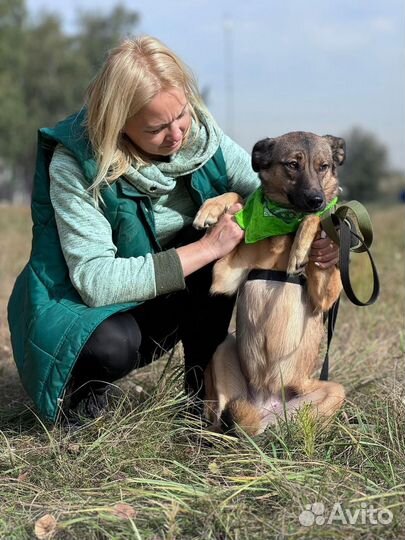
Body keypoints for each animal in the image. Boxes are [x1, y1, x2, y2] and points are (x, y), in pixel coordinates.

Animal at [194, 133, 346, 436]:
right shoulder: (224, 276)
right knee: (226, 418)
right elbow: (239, 197)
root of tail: (267, 402)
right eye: (292, 165)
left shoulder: (325, 296)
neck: (281, 227)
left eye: (323, 166)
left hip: (333, 390)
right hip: (223, 349)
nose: (316, 199)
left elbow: (315, 219)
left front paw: (301, 247)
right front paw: (213, 209)